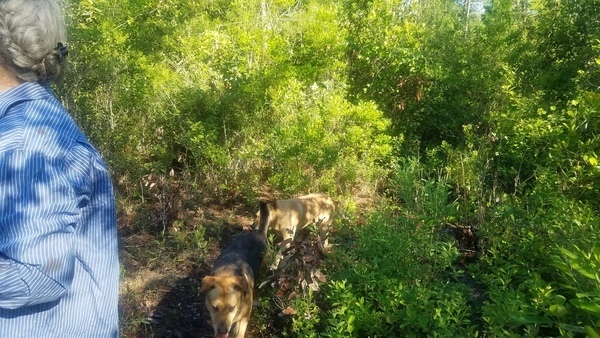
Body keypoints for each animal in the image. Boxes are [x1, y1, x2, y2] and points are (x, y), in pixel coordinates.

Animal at [200, 205, 268, 336]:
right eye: (215, 308)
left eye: (232, 308)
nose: (222, 331)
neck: (227, 272)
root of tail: (259, 233)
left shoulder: (244, 319)